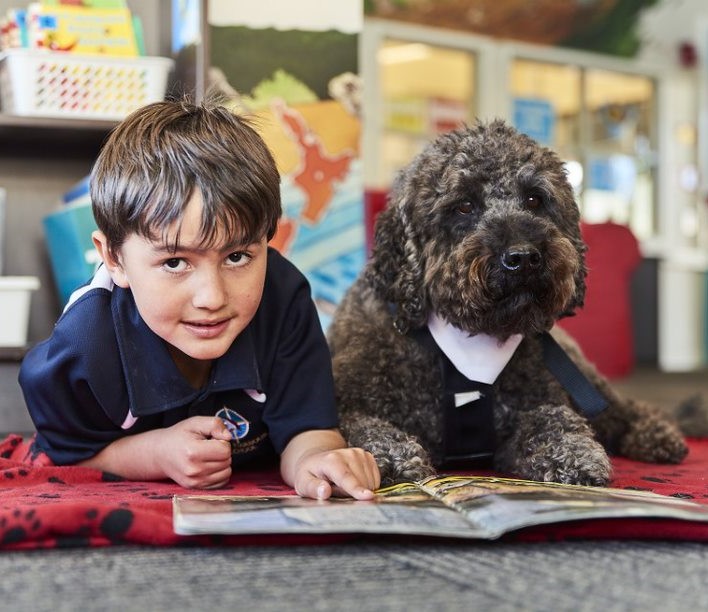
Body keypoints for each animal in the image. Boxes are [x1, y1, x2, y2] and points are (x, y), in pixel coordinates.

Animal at [330, 119, 688, 488]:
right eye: (464, 205)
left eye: (534, 199)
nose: (524, 257)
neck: (470, 343)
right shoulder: (352, 402)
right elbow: (359, 427)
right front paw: (388, 456)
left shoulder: (533, 406)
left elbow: (555, 419)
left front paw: (573, 453)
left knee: (625, 408)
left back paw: (657, 435)